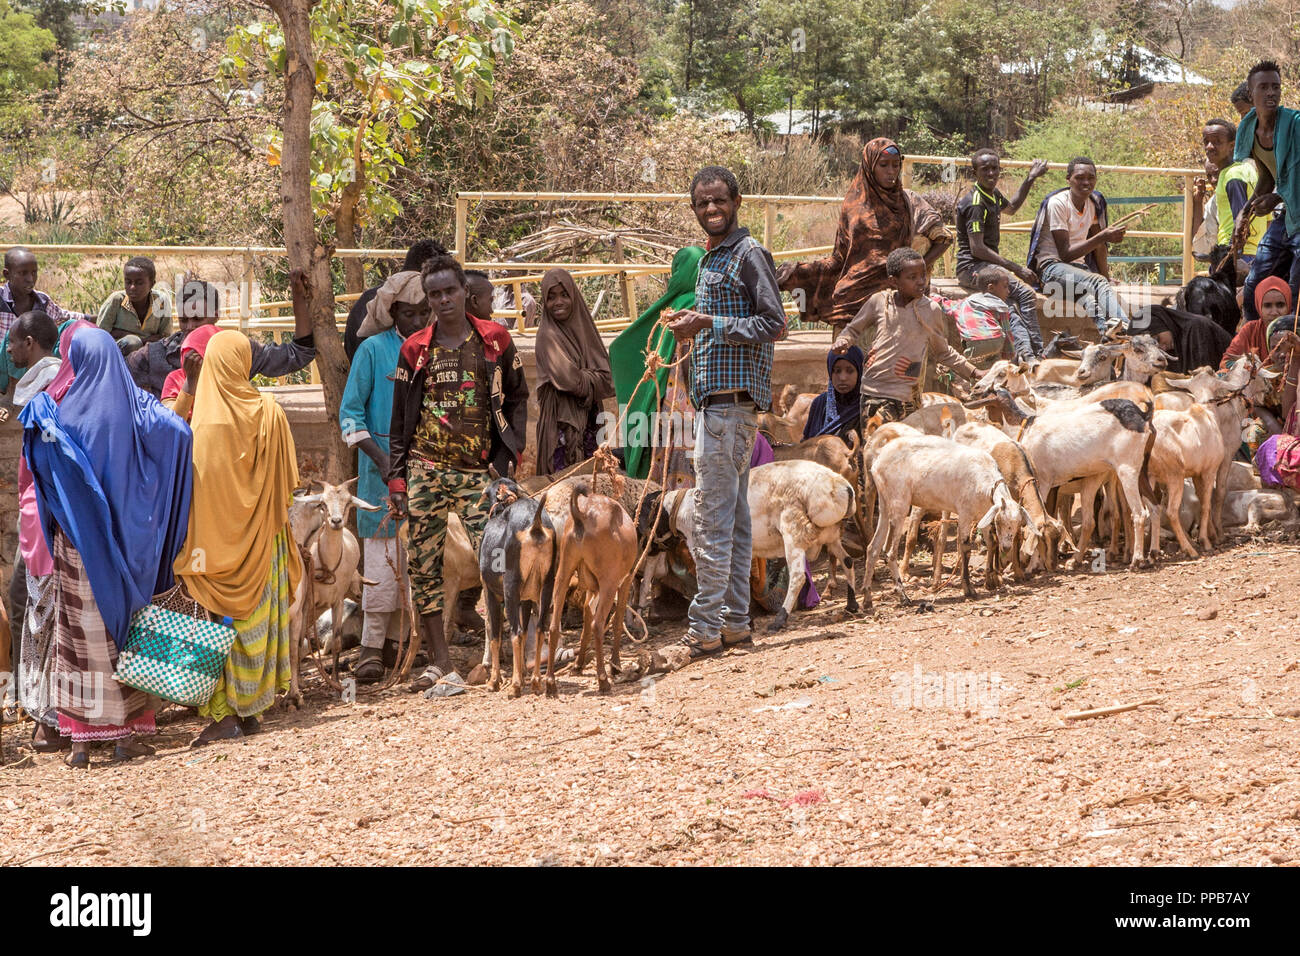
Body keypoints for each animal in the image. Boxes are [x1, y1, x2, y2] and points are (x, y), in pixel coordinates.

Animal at [863, 434, 1024, 606]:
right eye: (1000, 522)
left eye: (1018, 525)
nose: (1006, 547)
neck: (985, 479)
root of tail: (877, 463)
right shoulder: (965, 514)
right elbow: (965, 548)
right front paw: (968, 589)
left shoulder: (982, 515)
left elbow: (991, 542)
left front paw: (990, 581)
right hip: (899, 504)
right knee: (890, 553)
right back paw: (903, 596)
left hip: (884, 504)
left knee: (872, 548)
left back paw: (867, 598)